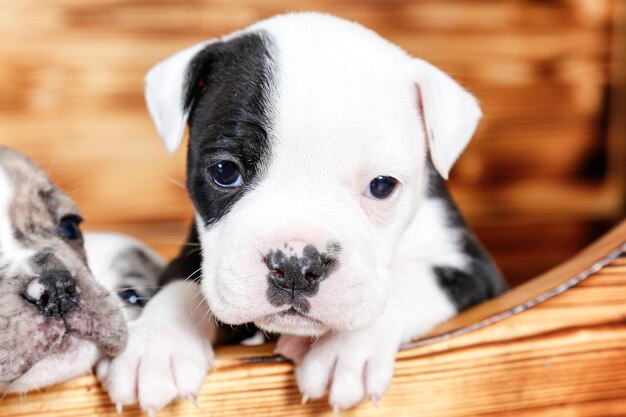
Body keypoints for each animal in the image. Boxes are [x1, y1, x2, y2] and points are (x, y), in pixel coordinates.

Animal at [98, 13, 508, 412]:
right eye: (224, 171)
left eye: (381, 185)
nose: (295, 265)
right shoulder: (192, 253)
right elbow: (184, 283)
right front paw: (156, 345)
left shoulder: (474, 269)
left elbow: (406, 280)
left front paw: (345, 348)